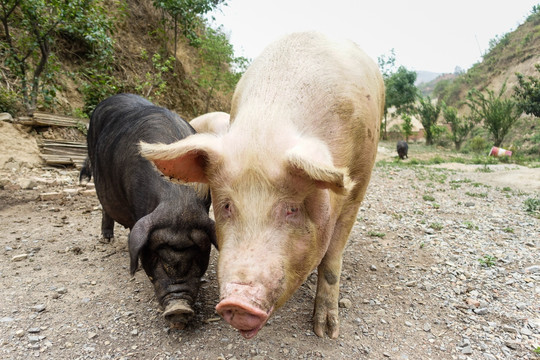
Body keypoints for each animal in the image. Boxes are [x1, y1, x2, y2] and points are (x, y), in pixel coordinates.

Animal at [139, 32, 384, 338]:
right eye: (227, 205)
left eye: (291, 209)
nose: (237, 302)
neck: (266, 128)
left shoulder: (360, 180)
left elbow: (332, 258)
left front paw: (325, 332)